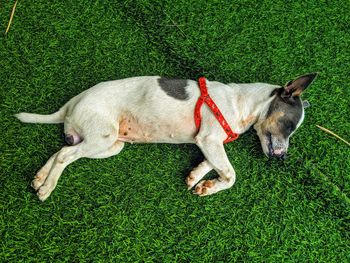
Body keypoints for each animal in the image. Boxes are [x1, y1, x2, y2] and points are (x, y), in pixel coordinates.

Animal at [15, 74, 318, 202]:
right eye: (289, 125)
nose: (283, 157)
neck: (243, 104)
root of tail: (72, 103)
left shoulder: (209, 143)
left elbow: (211, 165)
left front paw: (197, 178)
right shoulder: (209, 139)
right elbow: (231, 175)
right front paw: (211, 186)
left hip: (109, 145)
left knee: (60, 151)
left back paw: (39, 178)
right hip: (102, 139)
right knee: (65, 155)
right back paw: (46, 188)